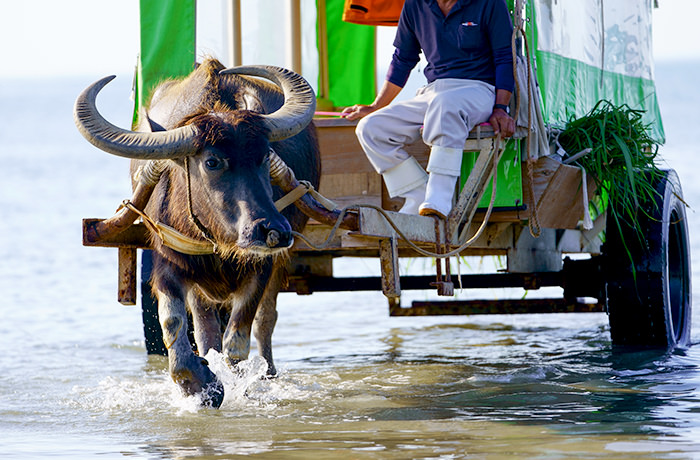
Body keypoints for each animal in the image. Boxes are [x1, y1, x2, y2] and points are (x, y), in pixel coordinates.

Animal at [74, 57, 320, 406]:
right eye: (212, 162)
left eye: (263, 156)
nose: (273, 231)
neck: (219, 241)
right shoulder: (169, 263)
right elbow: (174, 322)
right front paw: (200, 384)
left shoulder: (262, 266)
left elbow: (239, 336)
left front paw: (235, 382)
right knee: (205, 328)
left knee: (265, 319)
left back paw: (268, 373)